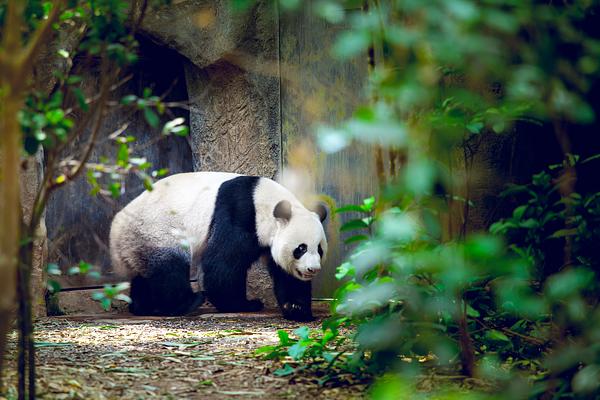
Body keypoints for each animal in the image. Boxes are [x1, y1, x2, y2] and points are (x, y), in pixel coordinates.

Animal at [108, 172, 328, 322]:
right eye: (300, 248)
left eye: (319, 249)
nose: (312, 269)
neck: (265, 202)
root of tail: (116, 232)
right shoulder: (241, 213)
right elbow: (222, 265)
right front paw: (244, 304)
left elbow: (285, 273)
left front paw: (297, 308)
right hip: (156, 231)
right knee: (169, 268)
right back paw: (186, 302)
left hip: (138, 242)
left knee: (144, 274)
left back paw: (143, 307)